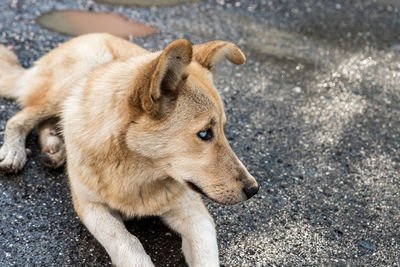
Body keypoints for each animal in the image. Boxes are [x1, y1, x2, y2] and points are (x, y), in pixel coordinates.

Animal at [0, 34, 260, 267]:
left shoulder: (195, 214)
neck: (137, 172)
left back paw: (53, 145)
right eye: (205, 133)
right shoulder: (90, 206)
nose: (253, 190)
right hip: (66, 85)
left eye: (224, 129)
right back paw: (14, 151)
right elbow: (126, 243)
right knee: (19, 118)